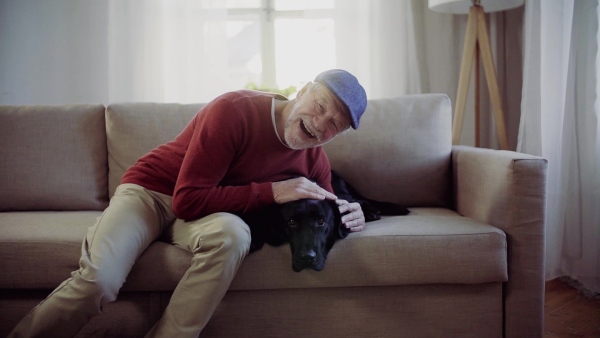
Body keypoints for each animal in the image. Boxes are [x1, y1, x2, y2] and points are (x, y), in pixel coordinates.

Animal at [241, 172, 410, 272]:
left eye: (321, 221)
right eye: (291, 222)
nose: (307, 258)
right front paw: (254, 237)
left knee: (357, 201)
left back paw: (372, 212)